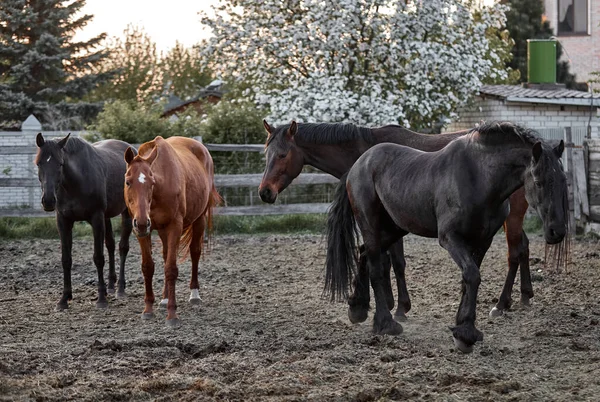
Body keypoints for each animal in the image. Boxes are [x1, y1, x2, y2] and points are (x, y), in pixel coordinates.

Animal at [34, 133, 135, 310]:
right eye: (39, 163)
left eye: (60, 164)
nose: (48, 200)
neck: (76, 182)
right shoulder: (64, 221)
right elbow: (66, 259)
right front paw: (64, 299)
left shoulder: (96, 218)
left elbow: (98, 258)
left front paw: (101, 299)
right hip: (107, 216)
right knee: (110, 244)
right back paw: (110, 285)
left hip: (126, 212)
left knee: (123, 247)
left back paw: (120, 289)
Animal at [123, 137, 221, 328]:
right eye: (128, 182)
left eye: (151, 183)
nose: (142, 222)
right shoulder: (142, 231)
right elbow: (148, 267)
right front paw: (148, 310)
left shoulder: (175, 226)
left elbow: (171, 269)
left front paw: (172, 315)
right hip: (160, 229)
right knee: (166, 254)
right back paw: (164, 298)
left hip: (199, 220)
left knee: (195, 253)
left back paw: (194, 294)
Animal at [326, 122, 568, 352]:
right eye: (538, 181)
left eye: (563, 181)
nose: (557, 231)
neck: (479, 179)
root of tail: (359, 164)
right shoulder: (450, 238)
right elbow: (472, 275)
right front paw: (466, 334)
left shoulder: (482, 241)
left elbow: (468, 279)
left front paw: (462, 326)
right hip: (371, 224)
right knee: (376, 267)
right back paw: (385, 323)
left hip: (395, 228)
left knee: (364, 252)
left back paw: (357, 308)